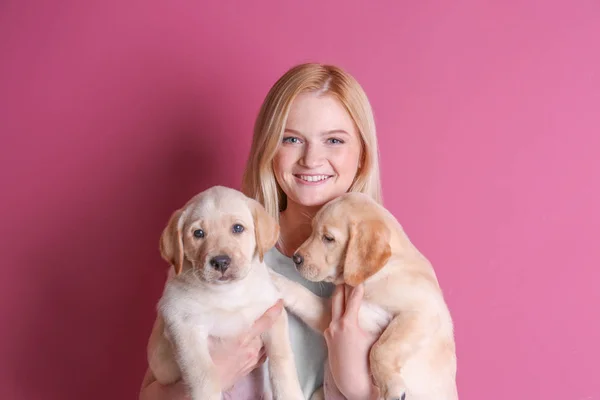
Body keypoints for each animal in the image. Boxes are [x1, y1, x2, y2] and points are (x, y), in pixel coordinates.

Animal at [148, 186, 302, 400]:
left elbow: (281, 358)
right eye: (198, 233)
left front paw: (290, 393)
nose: (220, 262)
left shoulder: (273, 313)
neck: (228, 294)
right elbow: (206, 374)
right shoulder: (183, 325)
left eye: (237, 228)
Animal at [270, 193, 458, 400]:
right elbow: (302, 294)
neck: (378, 275)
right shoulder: (330, 315)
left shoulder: (422, 313)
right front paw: (276, 280)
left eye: (328, 238)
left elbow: (380, 349)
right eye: (311, 231)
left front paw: (392, 388)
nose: (296, 259)